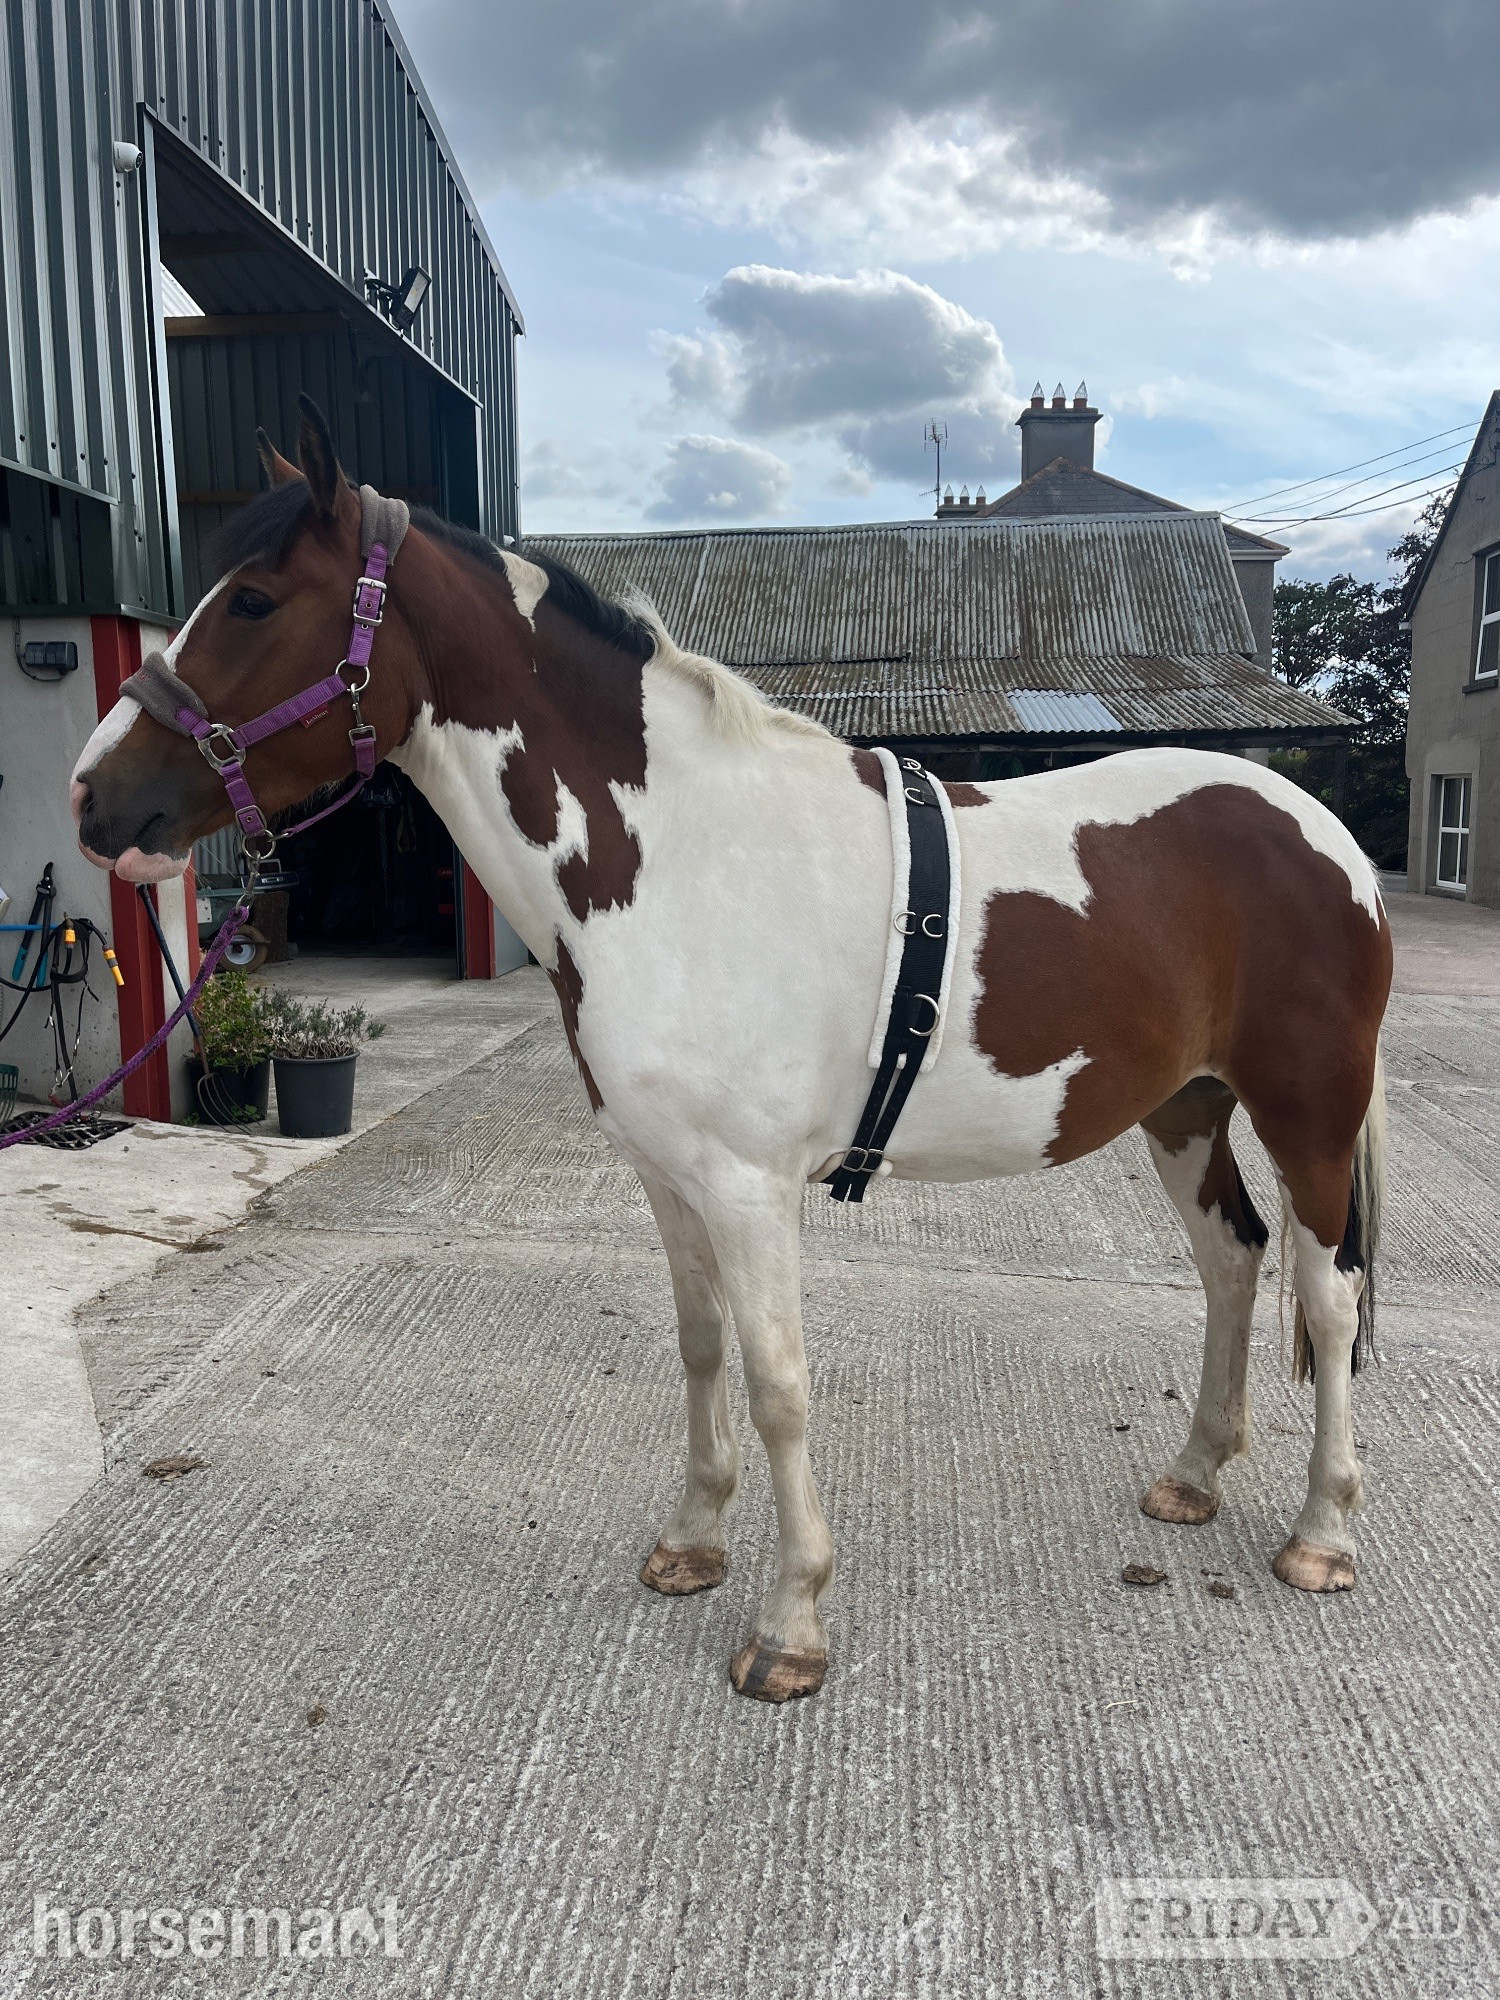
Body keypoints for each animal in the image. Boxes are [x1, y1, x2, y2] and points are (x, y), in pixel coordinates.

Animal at [71, 399, 1392, 1703]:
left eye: (253, 600)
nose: (94, 798)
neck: (679, 855)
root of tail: (1326, 834)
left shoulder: (754, 1188)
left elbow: (778, 1383)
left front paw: (789, 1620)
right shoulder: (670, 1175)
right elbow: (702, 1348)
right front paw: (693, 1541)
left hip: (1307, 1113)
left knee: (1329, 1294)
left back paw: (1323, 1532)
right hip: (1187, 1107)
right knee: (1232, 1261)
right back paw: (1195, 1475)